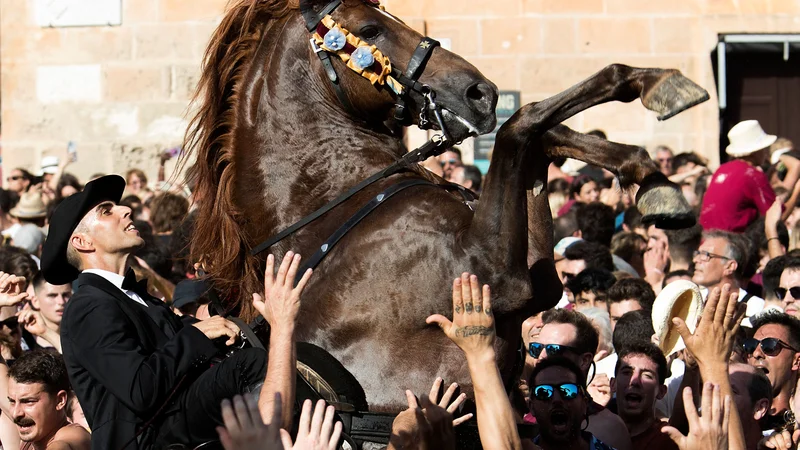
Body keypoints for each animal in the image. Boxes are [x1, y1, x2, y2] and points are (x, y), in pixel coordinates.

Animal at [183, 0, 708, 410]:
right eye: (370, 30)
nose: (481, 93)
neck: (330, 206)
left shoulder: (534, 278)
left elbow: (541, 136)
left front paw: (651, 170)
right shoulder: (497, 275)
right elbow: (523, 122)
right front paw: (653, 93)